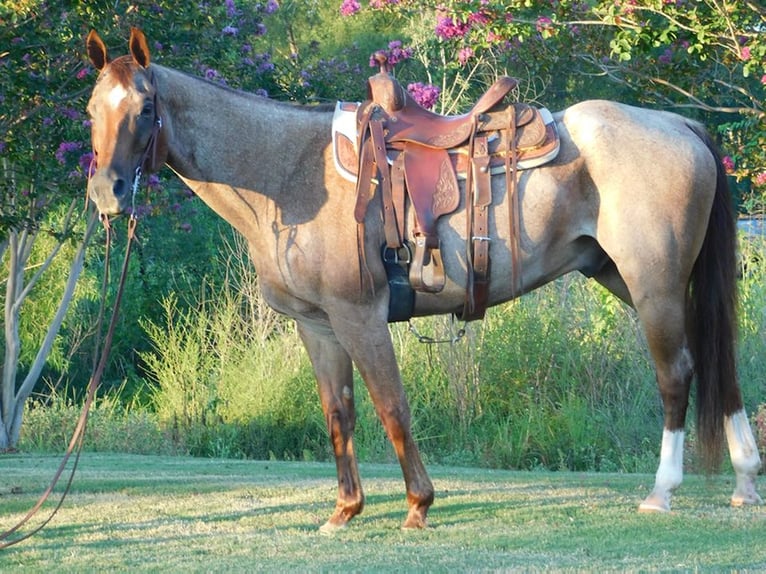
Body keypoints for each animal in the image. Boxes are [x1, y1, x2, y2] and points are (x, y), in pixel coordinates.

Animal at [84, 27, 760, 532]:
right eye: (92, 110)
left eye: (145, 108)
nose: (107, 194)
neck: (291, 173)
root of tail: (681, 126)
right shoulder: (317, 325)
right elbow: (339, 411)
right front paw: (345, 510)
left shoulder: (359, 315)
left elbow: (391, 405)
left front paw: (417, 505)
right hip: (630, 278)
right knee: (715, 359)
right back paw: (746, 481)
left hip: (653, 284)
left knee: (677, 375)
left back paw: (663, 491)